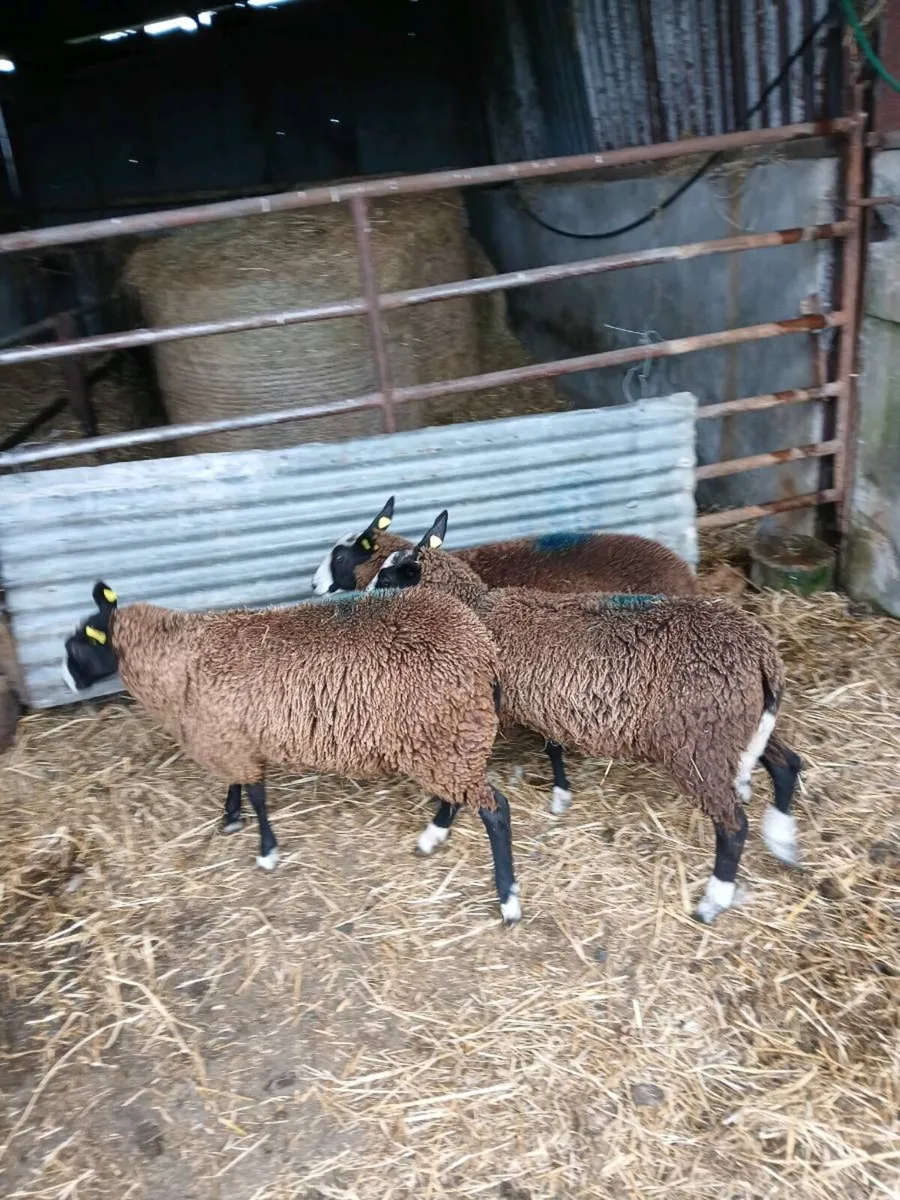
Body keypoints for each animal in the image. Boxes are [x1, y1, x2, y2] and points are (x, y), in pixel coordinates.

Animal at [61, 581, 522, 924]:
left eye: (77, 648)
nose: (68, 683)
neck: (179, 658)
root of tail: (484, 651)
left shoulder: (231, 741)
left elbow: (258, 796)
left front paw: (266, 851)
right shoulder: (230, 738)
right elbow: (238, 786)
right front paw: (230, 818)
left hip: (446, 733)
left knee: (495, 810)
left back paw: (509, 901)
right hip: (447, 737)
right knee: (459, 796)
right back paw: (433, 835)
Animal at [370, 513, 802, 925]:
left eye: (388, 578)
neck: (480, 613)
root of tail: (762, 654)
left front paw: (434, 832)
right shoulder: (544, 702)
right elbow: (552, 745)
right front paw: (561, 793)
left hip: (697, 743)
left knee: (734, 825)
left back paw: (713, 901)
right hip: (730, 724)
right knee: (787, 763)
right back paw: (782, 840)